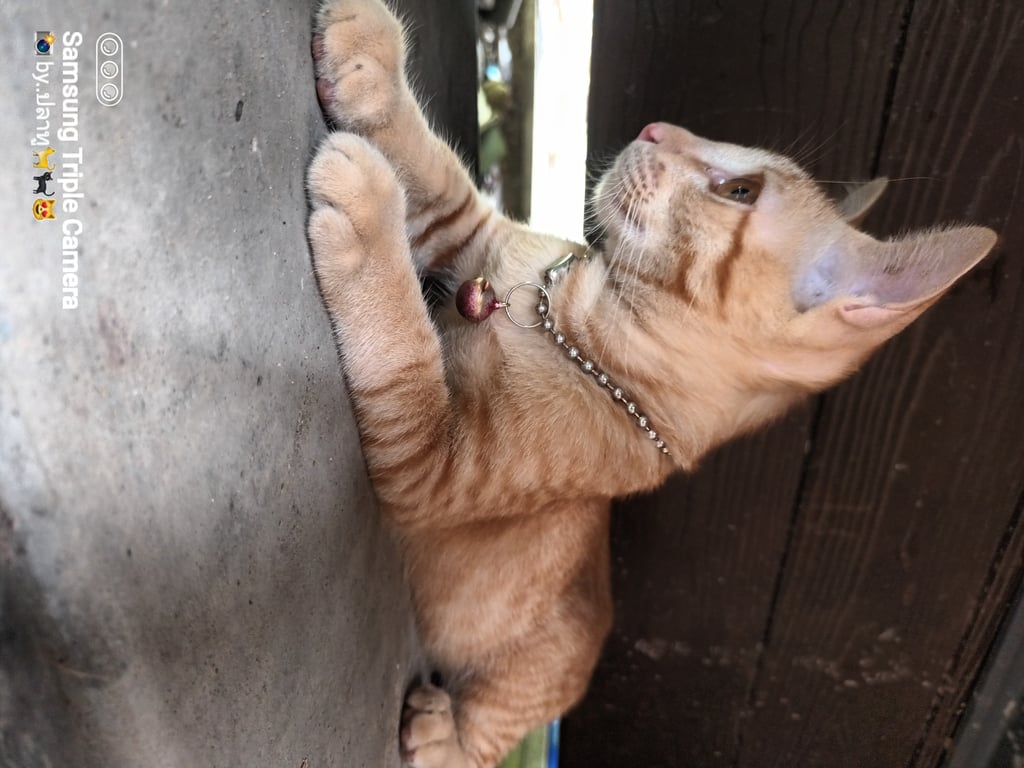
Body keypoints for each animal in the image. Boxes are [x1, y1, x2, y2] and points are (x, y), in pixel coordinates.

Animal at [304, 1, 997, 766]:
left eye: (739, 190)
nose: (656, 127)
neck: (562, 317)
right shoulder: (473, 239)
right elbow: (435, 171)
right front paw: (369, 56)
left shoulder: (432, 466)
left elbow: (404, 345)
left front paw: (368, 209)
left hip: (538, 667)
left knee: (481, 740)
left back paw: (442, 736)